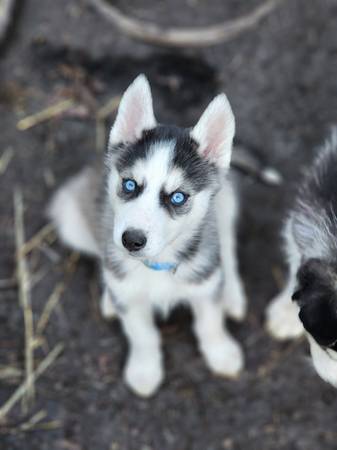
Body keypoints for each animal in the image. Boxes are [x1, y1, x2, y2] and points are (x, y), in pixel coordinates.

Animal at [48, 74, 245, 398]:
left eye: (177, 197)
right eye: (129, 184)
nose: (132, 240)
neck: (157, 265)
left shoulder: (203, 290)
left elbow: (210, 323)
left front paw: (222, 353)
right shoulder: (132, 302)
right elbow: (142, 335)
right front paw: (144, 371)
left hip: (226, 203)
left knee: (226, 246)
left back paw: (231, 292)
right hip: (71, 217)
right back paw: (108, 296)